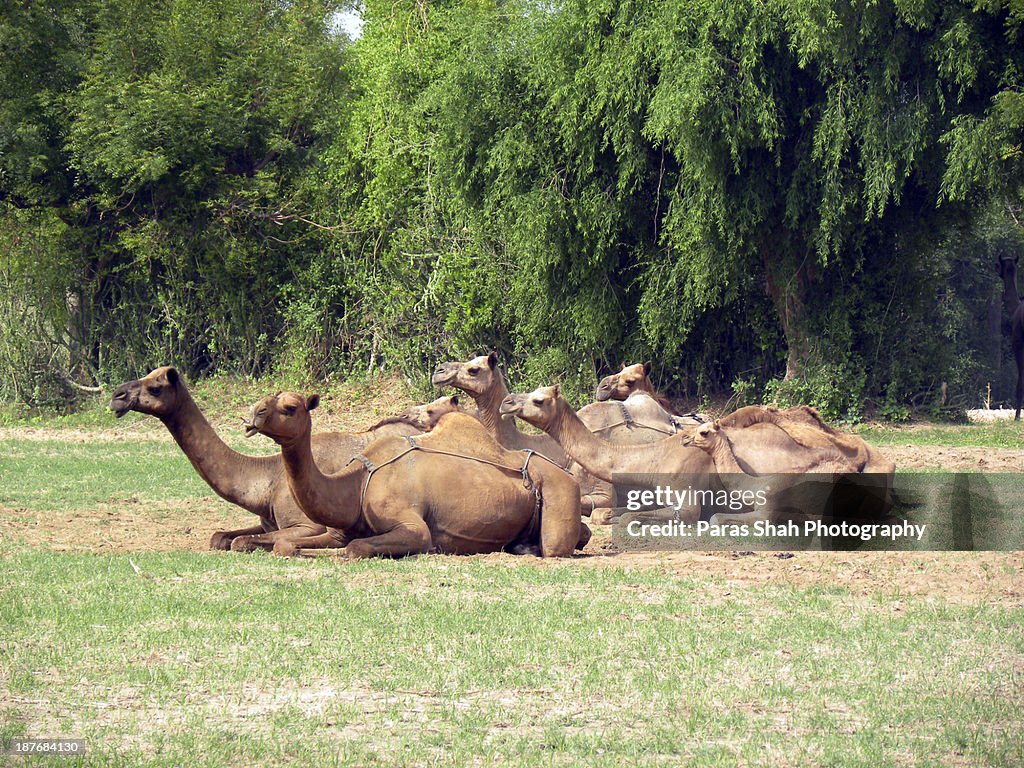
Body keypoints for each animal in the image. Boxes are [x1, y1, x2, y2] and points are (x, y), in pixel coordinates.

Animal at [112, 366, 428, 552]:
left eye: (155, 387)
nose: (117, 395)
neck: (266, 481)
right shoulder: (267, 522)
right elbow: (220, 536)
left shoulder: (306, 525)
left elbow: (240, 542)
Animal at [242, 391, 589, 561]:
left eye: (290, 407)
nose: (252, 415)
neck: (358, 483)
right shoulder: (339, 531)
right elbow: (284, 545)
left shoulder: (411, 524)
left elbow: (356, 549)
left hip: (560, 491)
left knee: (555, 547)